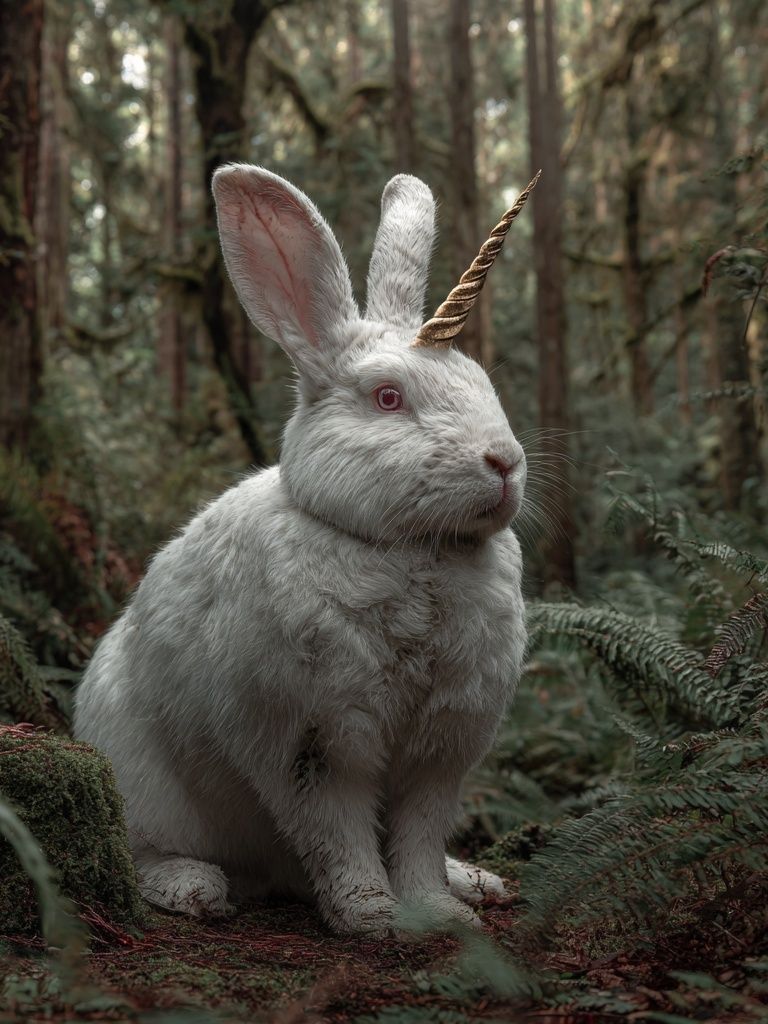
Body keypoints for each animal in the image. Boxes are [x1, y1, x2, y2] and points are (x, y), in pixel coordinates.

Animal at [74, 164, 533, 936]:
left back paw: (476, 882)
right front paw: (374, 918)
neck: (411, 552)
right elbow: (339, 833)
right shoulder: (312, 743)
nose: (504, 462)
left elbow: (419, 834)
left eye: (482, 383)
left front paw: (441, 913)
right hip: (141, 786)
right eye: (387, 398)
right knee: (140, 851)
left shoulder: (441, 750)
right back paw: (192, 887)